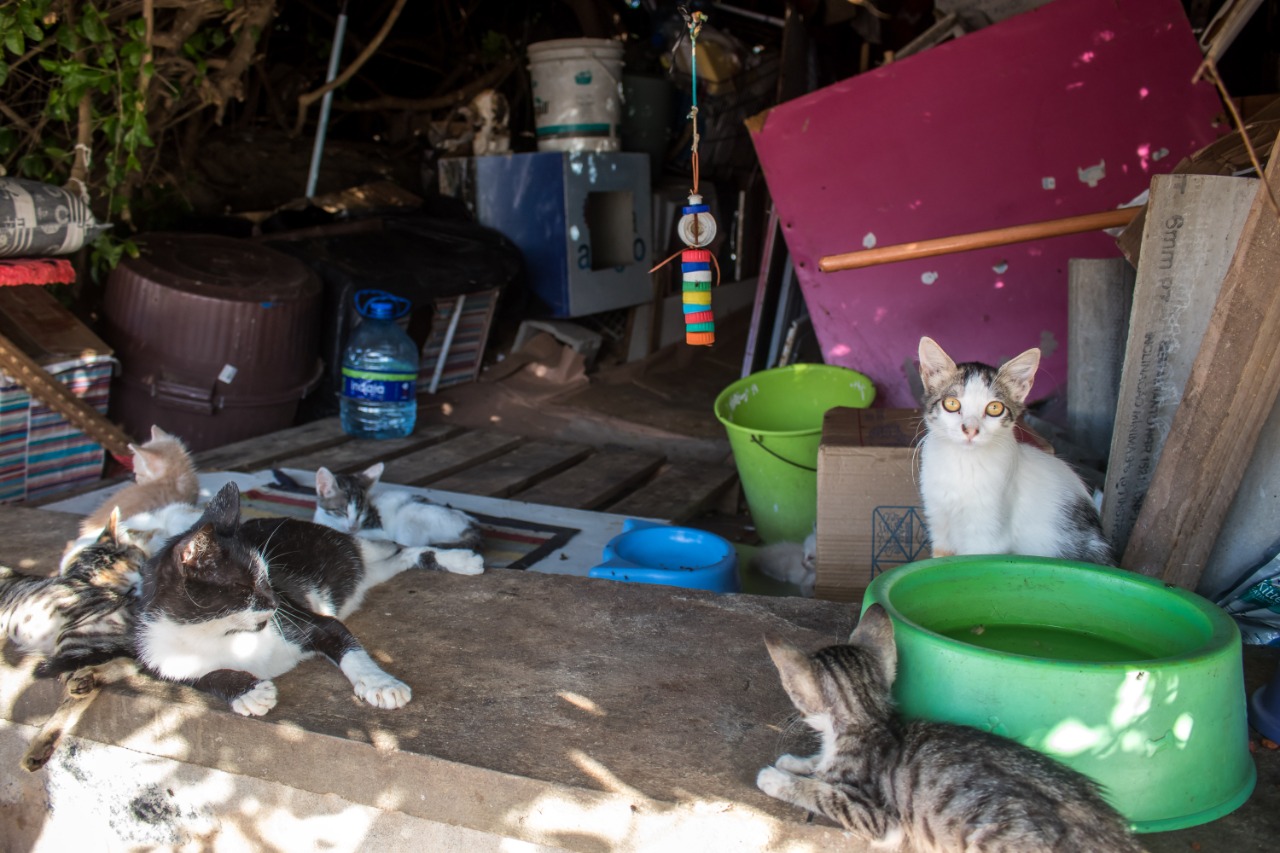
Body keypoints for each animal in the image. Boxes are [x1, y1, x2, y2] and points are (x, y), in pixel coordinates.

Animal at [135, 481, 483, 712]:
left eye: (268, 577)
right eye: (245, 587)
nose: (275, 602)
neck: (222, 634)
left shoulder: (313, 622)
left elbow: (349, 648)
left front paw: (380, 683)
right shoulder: (156, 658)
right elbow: (202, 676)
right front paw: (248, 692)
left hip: (354, 545)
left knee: (401, 546)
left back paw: (462, 560)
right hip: (368, 570)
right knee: (400, 558)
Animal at [314, 461, 483, 548]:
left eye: (361, 512)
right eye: (343, 511)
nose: (353, 527)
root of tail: (470, 524)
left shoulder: (378, 532)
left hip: (410, 515)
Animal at [752, 601, 1146, 845]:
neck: (866, 722)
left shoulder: (882, 821)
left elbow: (824, 792)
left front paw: (778, 778)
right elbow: (820, 765)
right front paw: (797, 762)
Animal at [921, 333, 1111, 563]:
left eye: (994, 408)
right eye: (951, 404)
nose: (970, 429)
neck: (963, 463)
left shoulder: (986, 538)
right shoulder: (939, 523)